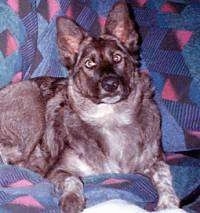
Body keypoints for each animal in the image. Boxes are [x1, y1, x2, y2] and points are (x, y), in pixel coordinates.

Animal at [0, 0, 180, 212]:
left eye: (117, 58)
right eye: (89, 64)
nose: (110, 84)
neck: (111, 117)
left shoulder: (155, 159)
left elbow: (164, 174)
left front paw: (169, 202)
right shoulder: (58, 169)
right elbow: (73, 179)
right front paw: (72, 198)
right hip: (31, 98)